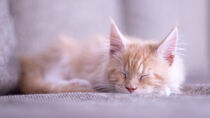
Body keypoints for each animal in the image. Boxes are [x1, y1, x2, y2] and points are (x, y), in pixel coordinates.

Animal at [19, 19, 184, 95]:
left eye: (144, 75)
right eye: (123, 74)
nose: (130, 88)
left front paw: (164, 88)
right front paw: (162, 90)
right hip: (63, 49)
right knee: (49, 78)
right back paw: (78, 82)